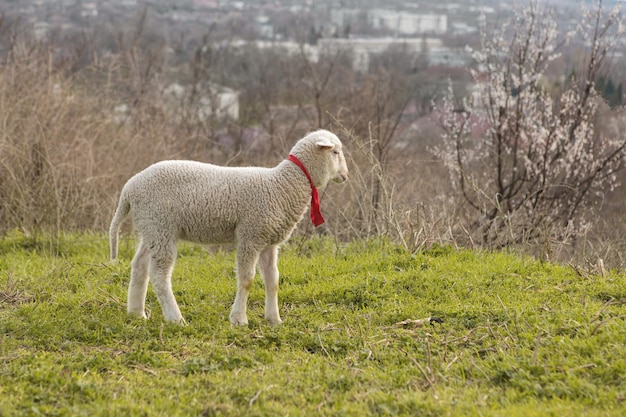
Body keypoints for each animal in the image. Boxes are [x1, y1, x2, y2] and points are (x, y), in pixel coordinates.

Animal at [109, 129, 348, 324]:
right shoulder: (250, 235)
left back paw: (136, 313)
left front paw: (274, 319)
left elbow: (273, 280)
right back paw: (175, 318)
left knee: (139, 266)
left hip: (151, 228)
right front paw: (239, 319)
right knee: (159, 276)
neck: (283, 185)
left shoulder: (269, 241)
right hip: (161, 227)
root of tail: (129, 189)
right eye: (335, 152)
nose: (345, 176)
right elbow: (247, 279)